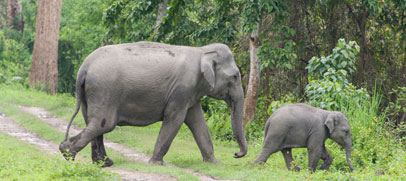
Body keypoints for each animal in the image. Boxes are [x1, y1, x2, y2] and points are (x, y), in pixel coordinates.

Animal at [59, 41, 247, 167]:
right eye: (235, 76)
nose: (236, 154)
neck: (202, 51)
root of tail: (84, 68)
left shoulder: (191, 93)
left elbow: (197, 121)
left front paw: (214, 163)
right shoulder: (182, 89)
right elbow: (175, 119)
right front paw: (157, 164)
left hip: (91, 94)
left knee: (93, 123)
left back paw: (104, 163)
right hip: (104, 90)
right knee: (102, 124)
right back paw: (67, 153)